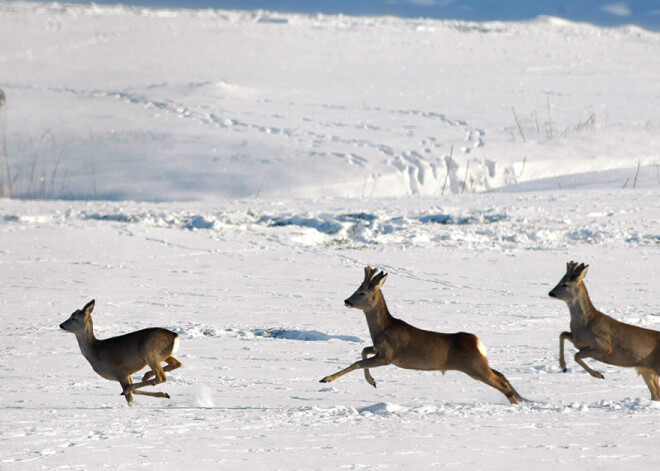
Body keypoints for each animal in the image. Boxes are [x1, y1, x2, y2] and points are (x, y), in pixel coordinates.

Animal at [320, 268, 524, 404]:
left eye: (361, 292)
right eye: (356, 289)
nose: (347, 301)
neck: (383, 329)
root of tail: (478, 342)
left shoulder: (388, 356)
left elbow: (357, 363)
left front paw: (325, 379)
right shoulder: (378, 350)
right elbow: (363, 351)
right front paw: (372, 382)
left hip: (473, 366)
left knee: (502, 384)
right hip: (478, 363)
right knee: (502, 375)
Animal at [548, 262, 660, 402]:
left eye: (565, 284)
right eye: (560, 281)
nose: (550, 293)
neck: (586, 323)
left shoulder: (604, 346)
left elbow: (576, 355)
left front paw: (598, 375)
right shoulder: (577, 340)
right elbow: (562, 334)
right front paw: (563, 367)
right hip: (647, 371)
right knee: (655, 394)